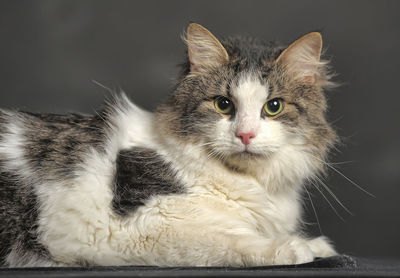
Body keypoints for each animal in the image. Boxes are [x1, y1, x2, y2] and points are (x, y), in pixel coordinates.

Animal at [0, 23, 338, 268]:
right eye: (223, 104)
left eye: (274, 106)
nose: (245, 135)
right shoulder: (133, 228)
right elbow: (229, 237)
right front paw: (295, 247)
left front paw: (317, 246)